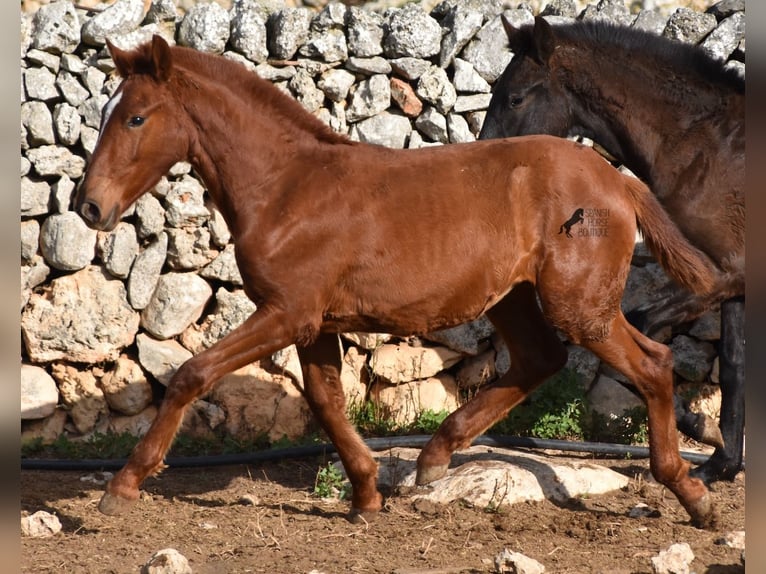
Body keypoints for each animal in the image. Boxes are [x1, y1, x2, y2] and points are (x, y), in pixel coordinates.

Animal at [76, 36, 720, 532]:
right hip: (514, 297)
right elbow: (327, 401)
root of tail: (617, 181)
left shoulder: (286, 312)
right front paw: (366, 496)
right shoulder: (313, 322)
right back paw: (432, 459)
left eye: (136, 117)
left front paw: (122, 486)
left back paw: (693, 494)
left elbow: (192, 374)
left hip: (579, 305)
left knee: (653, 364)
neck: (286, 187)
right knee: (542, 359)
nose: (89, 207)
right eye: (106, 112)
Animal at [484, 16, 748, 486]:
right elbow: (733, 368)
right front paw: (719, 461)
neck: (707, 146)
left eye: (515, 97)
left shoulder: (725, 275)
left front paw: (701, 429)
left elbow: (641, 329)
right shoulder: (730, 280)